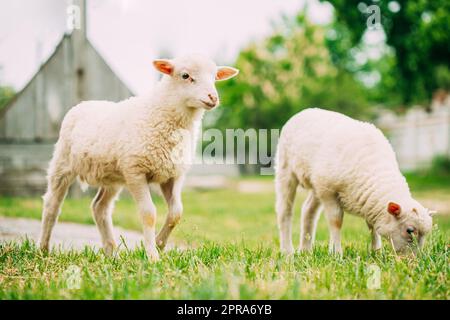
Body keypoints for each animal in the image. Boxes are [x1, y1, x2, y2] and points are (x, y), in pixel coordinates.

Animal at [38, 53, 239, 262]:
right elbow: (148, 214)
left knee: (100, 208)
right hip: (62, 163)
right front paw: (152, 256)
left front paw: (159, 244)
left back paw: (111, 253)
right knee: (52, 204)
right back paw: (43, 249)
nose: (213, 97)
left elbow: (176, 213)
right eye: (185, 76)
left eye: (215, 77)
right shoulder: (135, 171)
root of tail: (83, 103)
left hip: (112, 177)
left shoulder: (172, 175)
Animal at [276, 109, 434, 254]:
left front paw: (376, 251)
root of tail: (304, 111)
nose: (412, 260)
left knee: (308, 211)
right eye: (409, 230)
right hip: (286, 169)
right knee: (285, 211)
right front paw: (336, 253)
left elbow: (372, 225)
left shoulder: (369, 201)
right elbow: (336, 221)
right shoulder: (329, 192)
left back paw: (305, 250)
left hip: (317, 185)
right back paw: (287, 251)